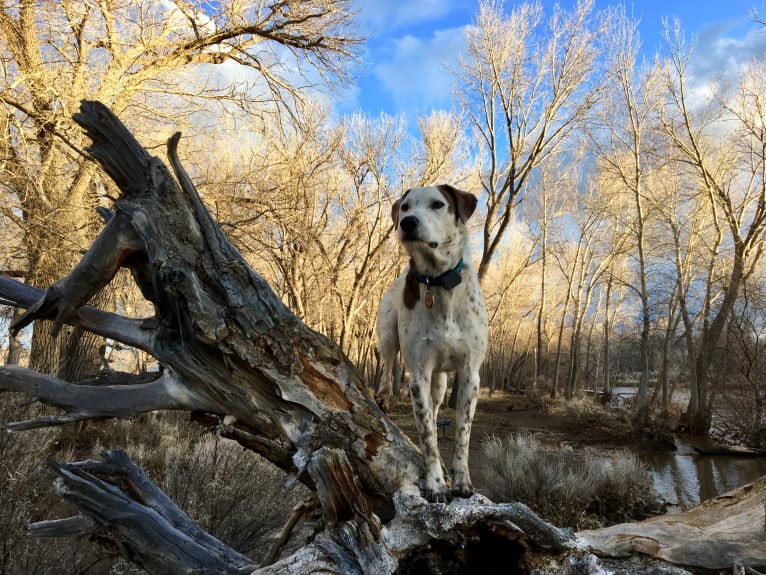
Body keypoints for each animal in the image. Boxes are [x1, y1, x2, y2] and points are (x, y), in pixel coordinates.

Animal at [376, 184, 488, 504]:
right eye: (404, 207)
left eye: (438, 204)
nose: (407, 223)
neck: (439, 284)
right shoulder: (418, 374)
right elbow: (427, 436)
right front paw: (436, 484)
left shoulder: (469, 375)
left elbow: (462, 435)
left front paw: (461, 481)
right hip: (388, 333)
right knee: (387, 363)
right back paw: (383, 395)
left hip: (440, 381)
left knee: (437, 409)